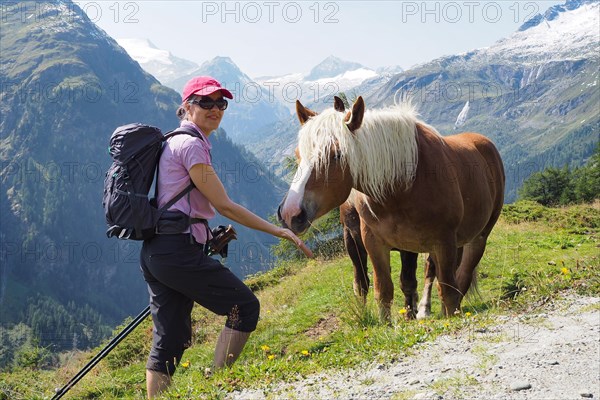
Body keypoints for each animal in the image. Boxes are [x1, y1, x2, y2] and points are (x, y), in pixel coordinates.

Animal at [278, 95, 504, 318]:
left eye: (337, 155)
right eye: (298, 154)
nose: (290, 213)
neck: (404, 185)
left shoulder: (439, 241)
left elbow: (438, 287)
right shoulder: (371, 241)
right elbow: (379, 288)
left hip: (477, 238)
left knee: (458, 277)